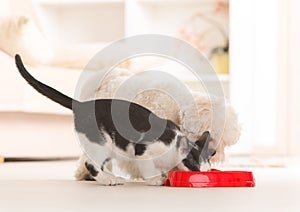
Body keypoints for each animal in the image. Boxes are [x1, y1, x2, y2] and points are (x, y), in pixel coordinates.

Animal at [15, 54, 216, 186]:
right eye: (197, 167)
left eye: (207, 169)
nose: (205, 176)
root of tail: (82, 105)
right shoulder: (143, 150)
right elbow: (147, 167)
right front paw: (155, 179)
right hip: (100, 142)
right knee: (90, 164)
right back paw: (109, 180)